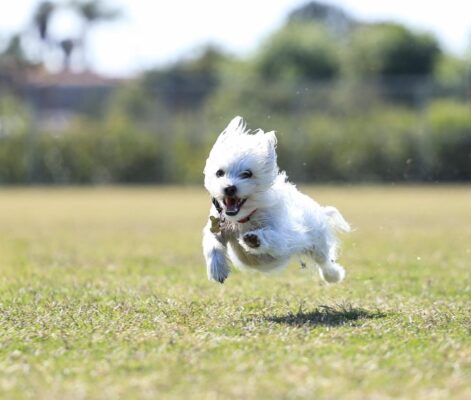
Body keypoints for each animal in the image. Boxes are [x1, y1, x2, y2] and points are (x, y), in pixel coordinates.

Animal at [203, 115, 350, 284]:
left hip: (317, 243)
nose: (229, 188)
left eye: (247, 174)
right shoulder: (217, 227)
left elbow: (275, 238)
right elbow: (212, 243)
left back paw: (333, 275)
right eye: (219, 173)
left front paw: (255, 239)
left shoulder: (286, 236)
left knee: (325, 261)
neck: (243, 218)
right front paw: (217, 269)